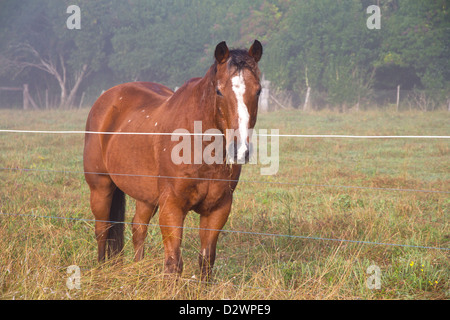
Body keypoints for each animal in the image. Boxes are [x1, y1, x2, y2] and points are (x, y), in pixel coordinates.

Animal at [82, 40, 262, 280]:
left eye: (258, 91)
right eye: (219, 91)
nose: (240, 150)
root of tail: (107, 99)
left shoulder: (218, 209)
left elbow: (206, 262)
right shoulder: (172, 207)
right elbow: (173, 263)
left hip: (146, 196)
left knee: (138, 228)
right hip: (101, 187)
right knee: (103, 229)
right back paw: (101, 270)